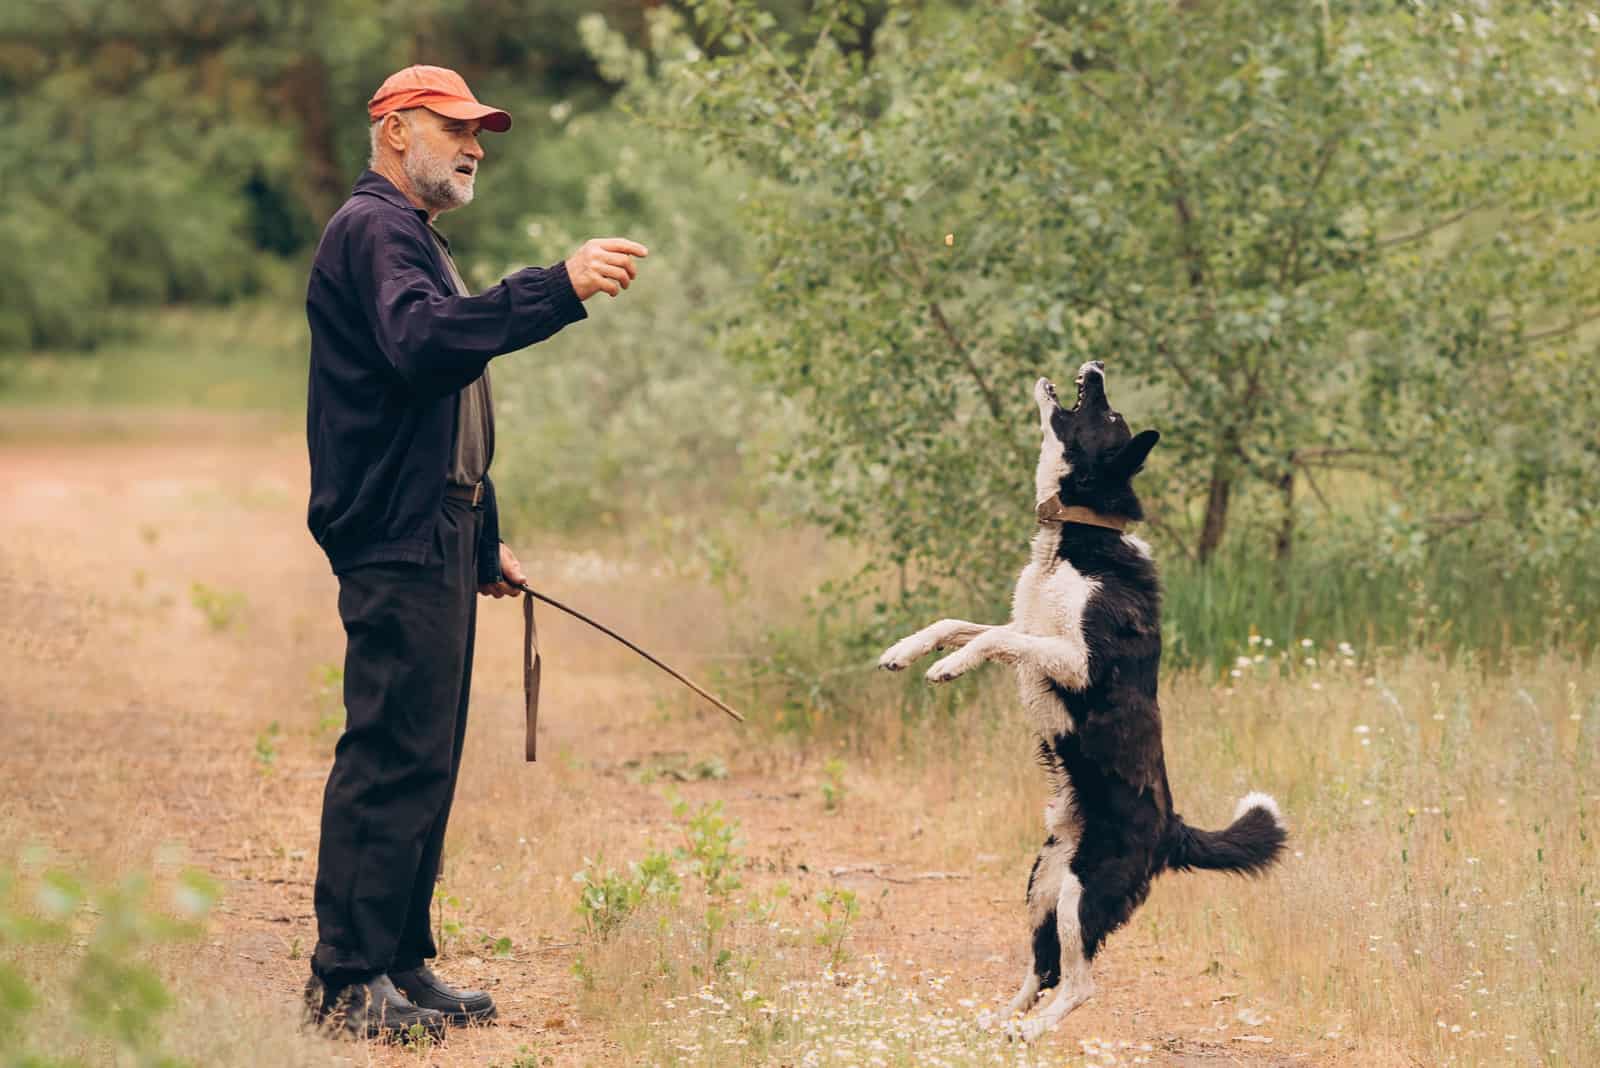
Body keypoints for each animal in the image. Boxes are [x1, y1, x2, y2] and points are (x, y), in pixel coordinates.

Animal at [876, 362, 1286, 1036]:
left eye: (1109, 414)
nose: (1094, 368)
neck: (1076, 536)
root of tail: (1172, 829)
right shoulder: (1030, 625)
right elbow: (961, 623)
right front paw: (907, 651)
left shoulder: (1078, 661)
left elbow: (994, 638)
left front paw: (948, 667)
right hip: (1044, 881)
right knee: (1042, 970)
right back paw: (998, 1022)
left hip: (1083, 891)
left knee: (1081, 983)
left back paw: (1031, 1030)